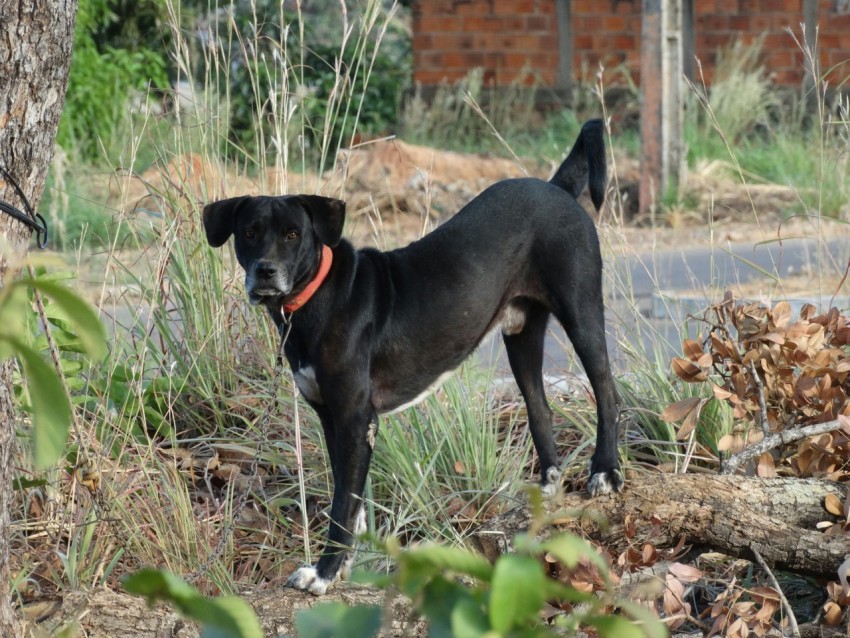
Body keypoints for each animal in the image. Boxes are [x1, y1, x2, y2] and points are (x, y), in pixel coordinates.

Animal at [202, 119, 620, 596]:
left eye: (293, 234)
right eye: (249, 232)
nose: (265, 272)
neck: (317, 298)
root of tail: (557, 188)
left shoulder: (354, 418)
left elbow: (342, 502)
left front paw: (323, 573)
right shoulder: (332, 418)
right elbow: (351, 498)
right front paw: (346, 564)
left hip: (581, 311)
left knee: (607, 391)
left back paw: (605, 473)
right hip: (521, 335)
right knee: (540, 407)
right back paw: (547, 488)